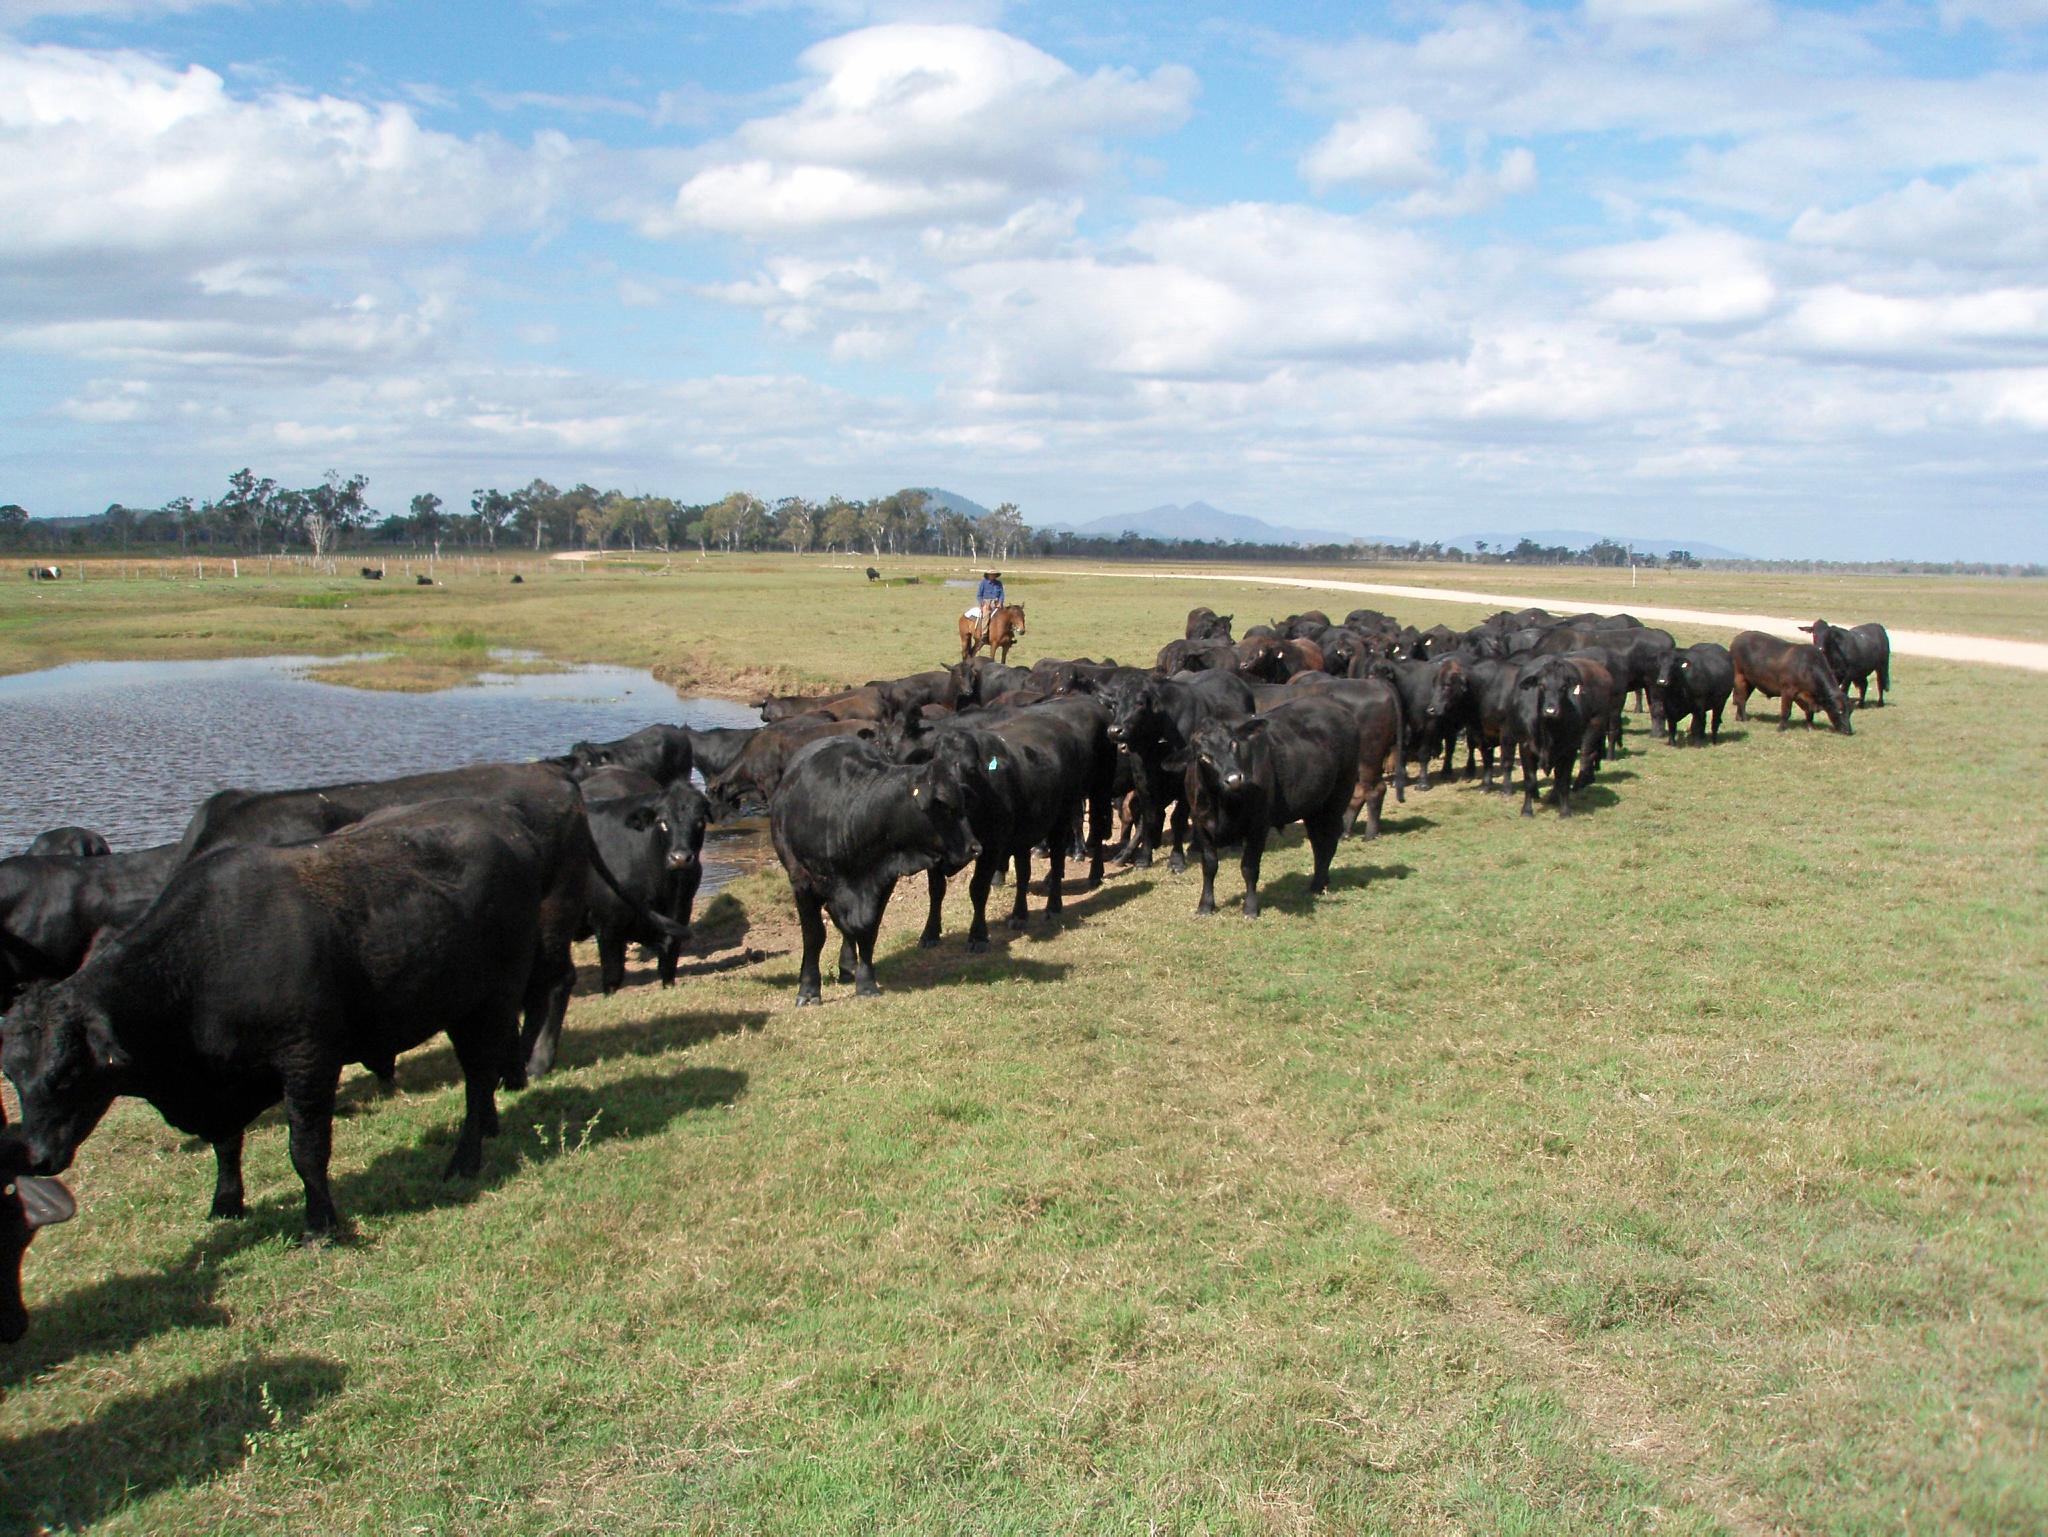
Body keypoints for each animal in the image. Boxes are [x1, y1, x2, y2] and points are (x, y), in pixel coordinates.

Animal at [581, 766, 708, 991]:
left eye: (700, 821)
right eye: (662, 822)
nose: (680, 858)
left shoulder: (679, 914)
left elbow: (668, 969)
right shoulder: (606, 925)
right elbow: (612, 979)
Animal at [1187, 696, 1359, 922]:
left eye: (1234, 744)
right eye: (1203, 756)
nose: (1234, 779)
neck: (1223, 804)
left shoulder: (1259, 825)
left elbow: (1249, 867)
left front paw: (1251, 908)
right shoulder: (1200, 824)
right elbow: (1209, 865)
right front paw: (1205, 905)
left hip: (1338, 796)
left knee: (1329, 840)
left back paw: (1318, 884)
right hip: (1313, 805)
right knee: (1318, 842)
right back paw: (1320, 882)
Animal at [1728, 635, 1859, 737]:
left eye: (1850, 712)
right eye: (1839, 711)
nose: (1848, 731)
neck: (1807, 668)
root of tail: (1737, 638)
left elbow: (1809, 713)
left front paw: (1810, 726)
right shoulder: (1787, 691)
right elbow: (1786, 711)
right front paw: (1781, 728)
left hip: (1751, 681)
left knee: (1742, 698)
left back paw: (1739, 717)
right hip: (1740, 677)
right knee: (1741, 699)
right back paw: (1745, 719)